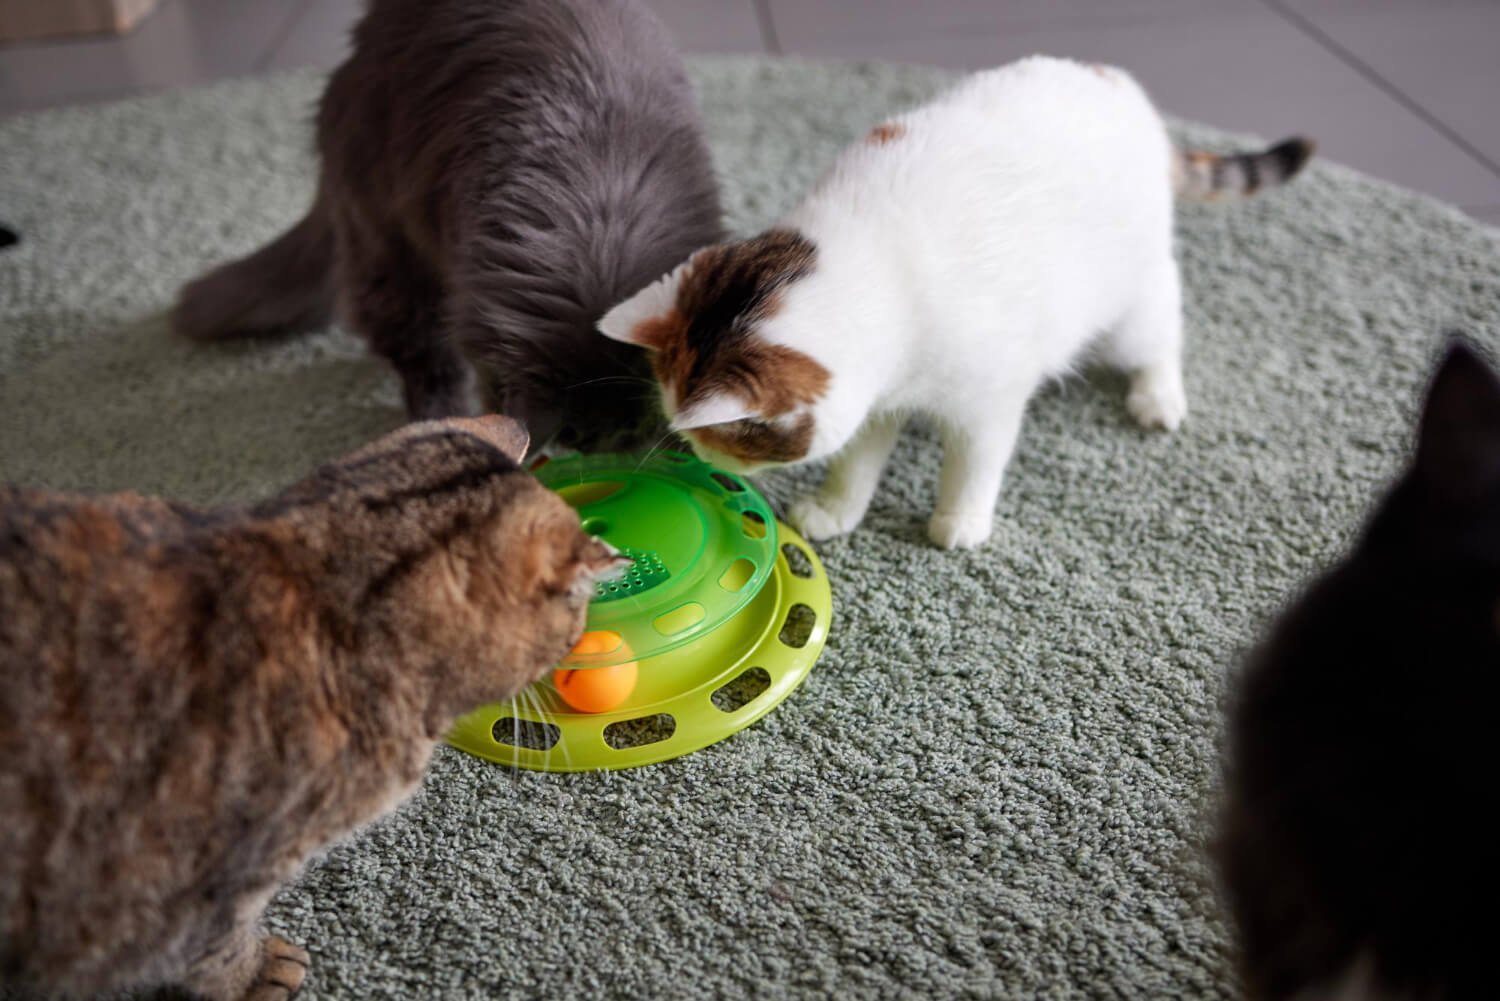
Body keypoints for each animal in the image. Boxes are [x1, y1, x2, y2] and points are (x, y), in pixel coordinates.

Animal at [172, 0, 723, 450]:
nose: (598, 452)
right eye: (577, 438)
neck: (599, 204)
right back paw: (439, 414)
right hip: (387, 239)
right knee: (414, 348)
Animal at [597, 56, 1314, 549]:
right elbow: (858, 460)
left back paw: (1157, 397)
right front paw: (836, 508)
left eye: (724, 437)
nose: (701, 460)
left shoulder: (988, 400)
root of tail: (1125, 92)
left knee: (1161, 328)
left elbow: (974, 462)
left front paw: (958, 521)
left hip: (1130, 300)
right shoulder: (876, 399)